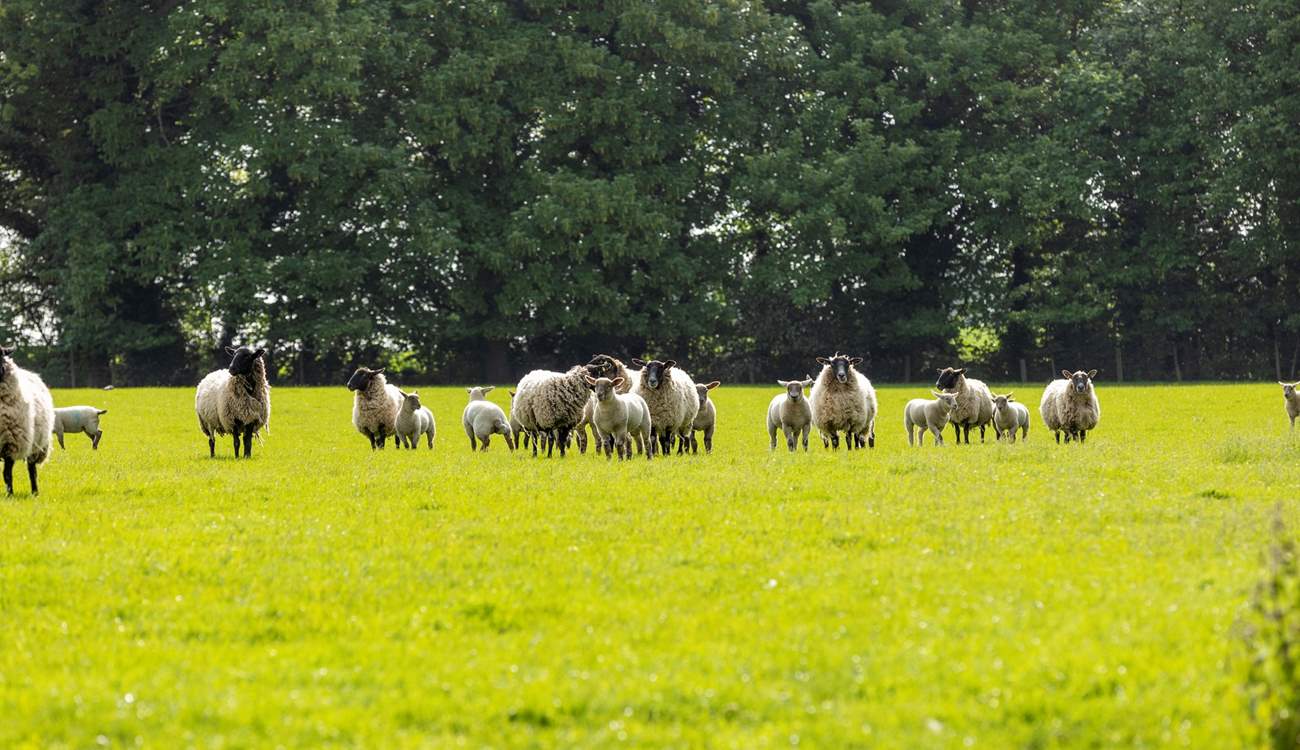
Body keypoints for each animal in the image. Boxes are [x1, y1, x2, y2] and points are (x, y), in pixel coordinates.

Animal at [0, 347, 54, 495]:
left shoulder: (10, 444)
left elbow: (7, 474)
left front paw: (10, 494)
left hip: (37, 446)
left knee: (32, 470)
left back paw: (35, 492)